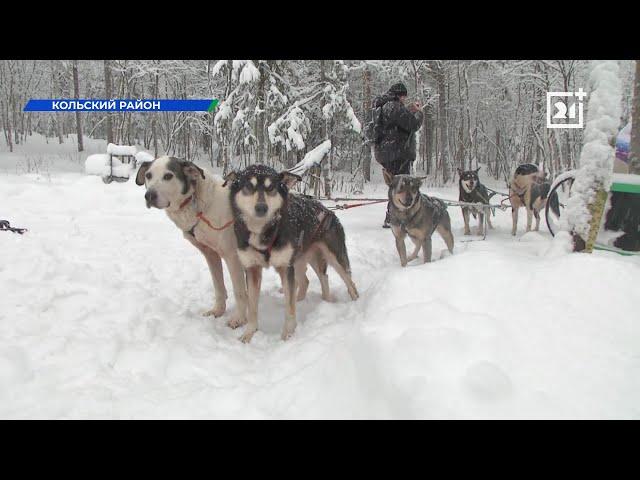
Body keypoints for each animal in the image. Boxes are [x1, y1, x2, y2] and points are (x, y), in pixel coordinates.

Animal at [136, 156, 249, 332]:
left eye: (168, 176)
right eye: (148, 175)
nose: (149, 196)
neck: (200, 206)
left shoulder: (232, 257)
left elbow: (239, 291)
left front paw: (239, 319)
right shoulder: (210, 254)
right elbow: (218, 287)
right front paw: (218, 311)